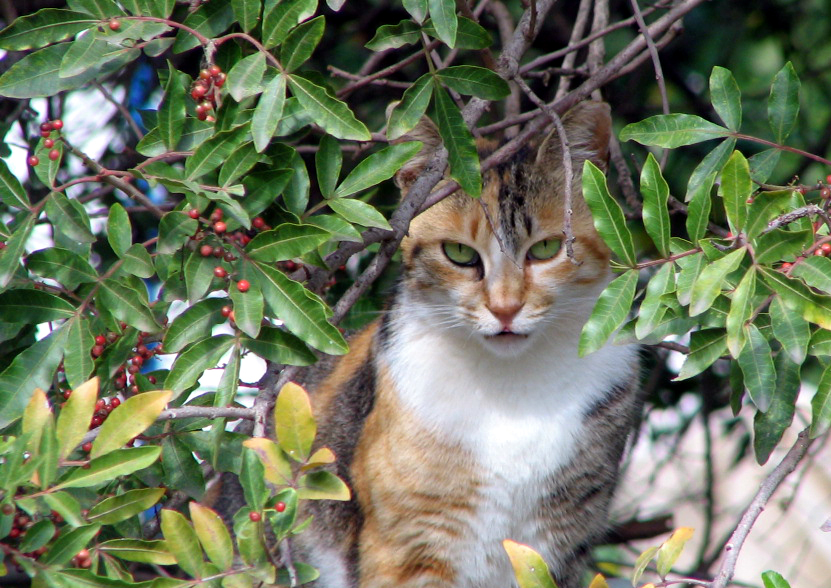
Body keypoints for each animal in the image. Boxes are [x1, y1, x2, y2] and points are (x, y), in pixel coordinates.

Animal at [292, 101, 644, 588]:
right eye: (459, 254)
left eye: (547, 249)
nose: (505, 308)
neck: (513, 392)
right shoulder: (409, 545)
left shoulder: (561, 539)